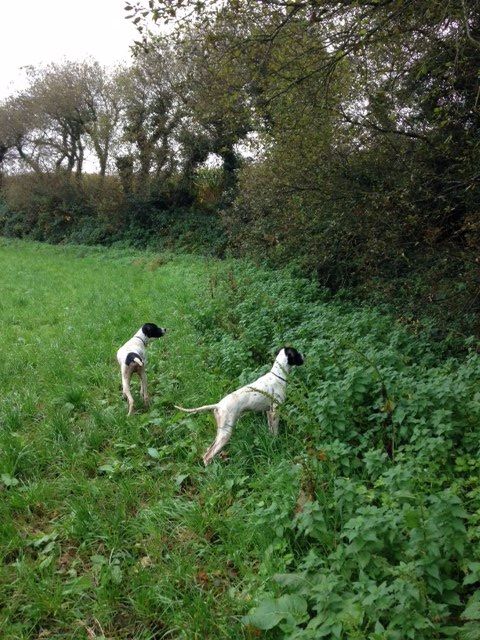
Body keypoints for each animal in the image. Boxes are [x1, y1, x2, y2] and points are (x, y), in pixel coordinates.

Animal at [176, 344, 304, 464]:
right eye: (297, 353)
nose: (304, 356)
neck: (278, 375)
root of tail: (218, 405)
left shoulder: (269, 412)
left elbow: (270, 429)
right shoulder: (275, 411)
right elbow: (275, 430)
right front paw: (276, 441)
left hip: (221, 431)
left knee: (208, 450)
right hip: (226, 432)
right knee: (207, 456)